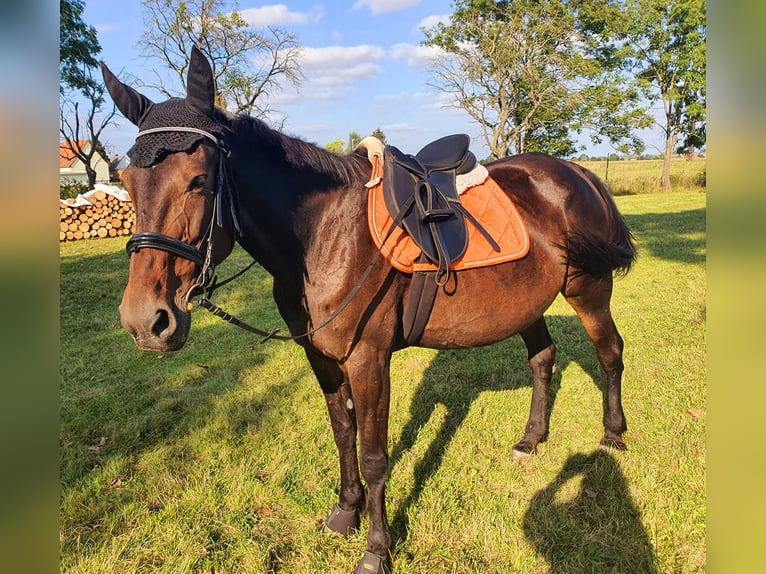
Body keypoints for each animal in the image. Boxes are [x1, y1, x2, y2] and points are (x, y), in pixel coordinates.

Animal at [102, 47, 636, 574]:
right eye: (125, 181)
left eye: (198, 180)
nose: (146, 321)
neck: (324, 233)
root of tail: (578, 174)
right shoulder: (321, 358)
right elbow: (343, 434)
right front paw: (345, 512)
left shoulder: (369, 360)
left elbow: (376, 455)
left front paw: (377, 549)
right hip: (527, 302)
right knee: (543, 359)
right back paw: (531, 440)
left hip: (588, 290)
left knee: (610, 352)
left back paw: (613, 435)